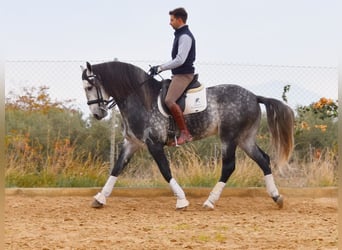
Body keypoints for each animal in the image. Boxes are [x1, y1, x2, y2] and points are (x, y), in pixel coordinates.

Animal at [80, 60, 294, 209]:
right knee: (263, 160)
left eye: (89, 87)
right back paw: (277, 197)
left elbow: (165, 170)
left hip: (229, 137)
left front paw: (182, 200)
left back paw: (210, 201)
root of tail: (254, 97)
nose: (97, 114)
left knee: (229, 167)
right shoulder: (132, 143)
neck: (140, 99)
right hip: (244, 138)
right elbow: (116, 168)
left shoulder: (153, 143)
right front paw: (99, 198)